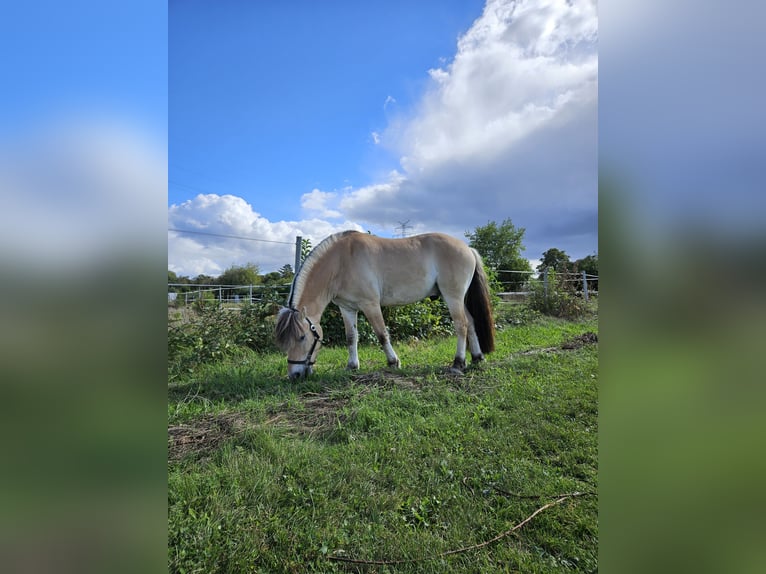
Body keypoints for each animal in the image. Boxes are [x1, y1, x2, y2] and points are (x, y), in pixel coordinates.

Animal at [276, 232, 498, 380]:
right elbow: (351, 337)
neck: (341, 261)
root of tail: (467, 248)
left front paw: (393, 362)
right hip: (459, 298)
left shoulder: (370, 304)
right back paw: (477, 357)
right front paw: (352, 366)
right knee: (471, 323)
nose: (294, 375)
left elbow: (382, 334)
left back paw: (458, 363)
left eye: (302, 337)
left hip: (452, 296)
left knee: (461, 325)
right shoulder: (347, 308)